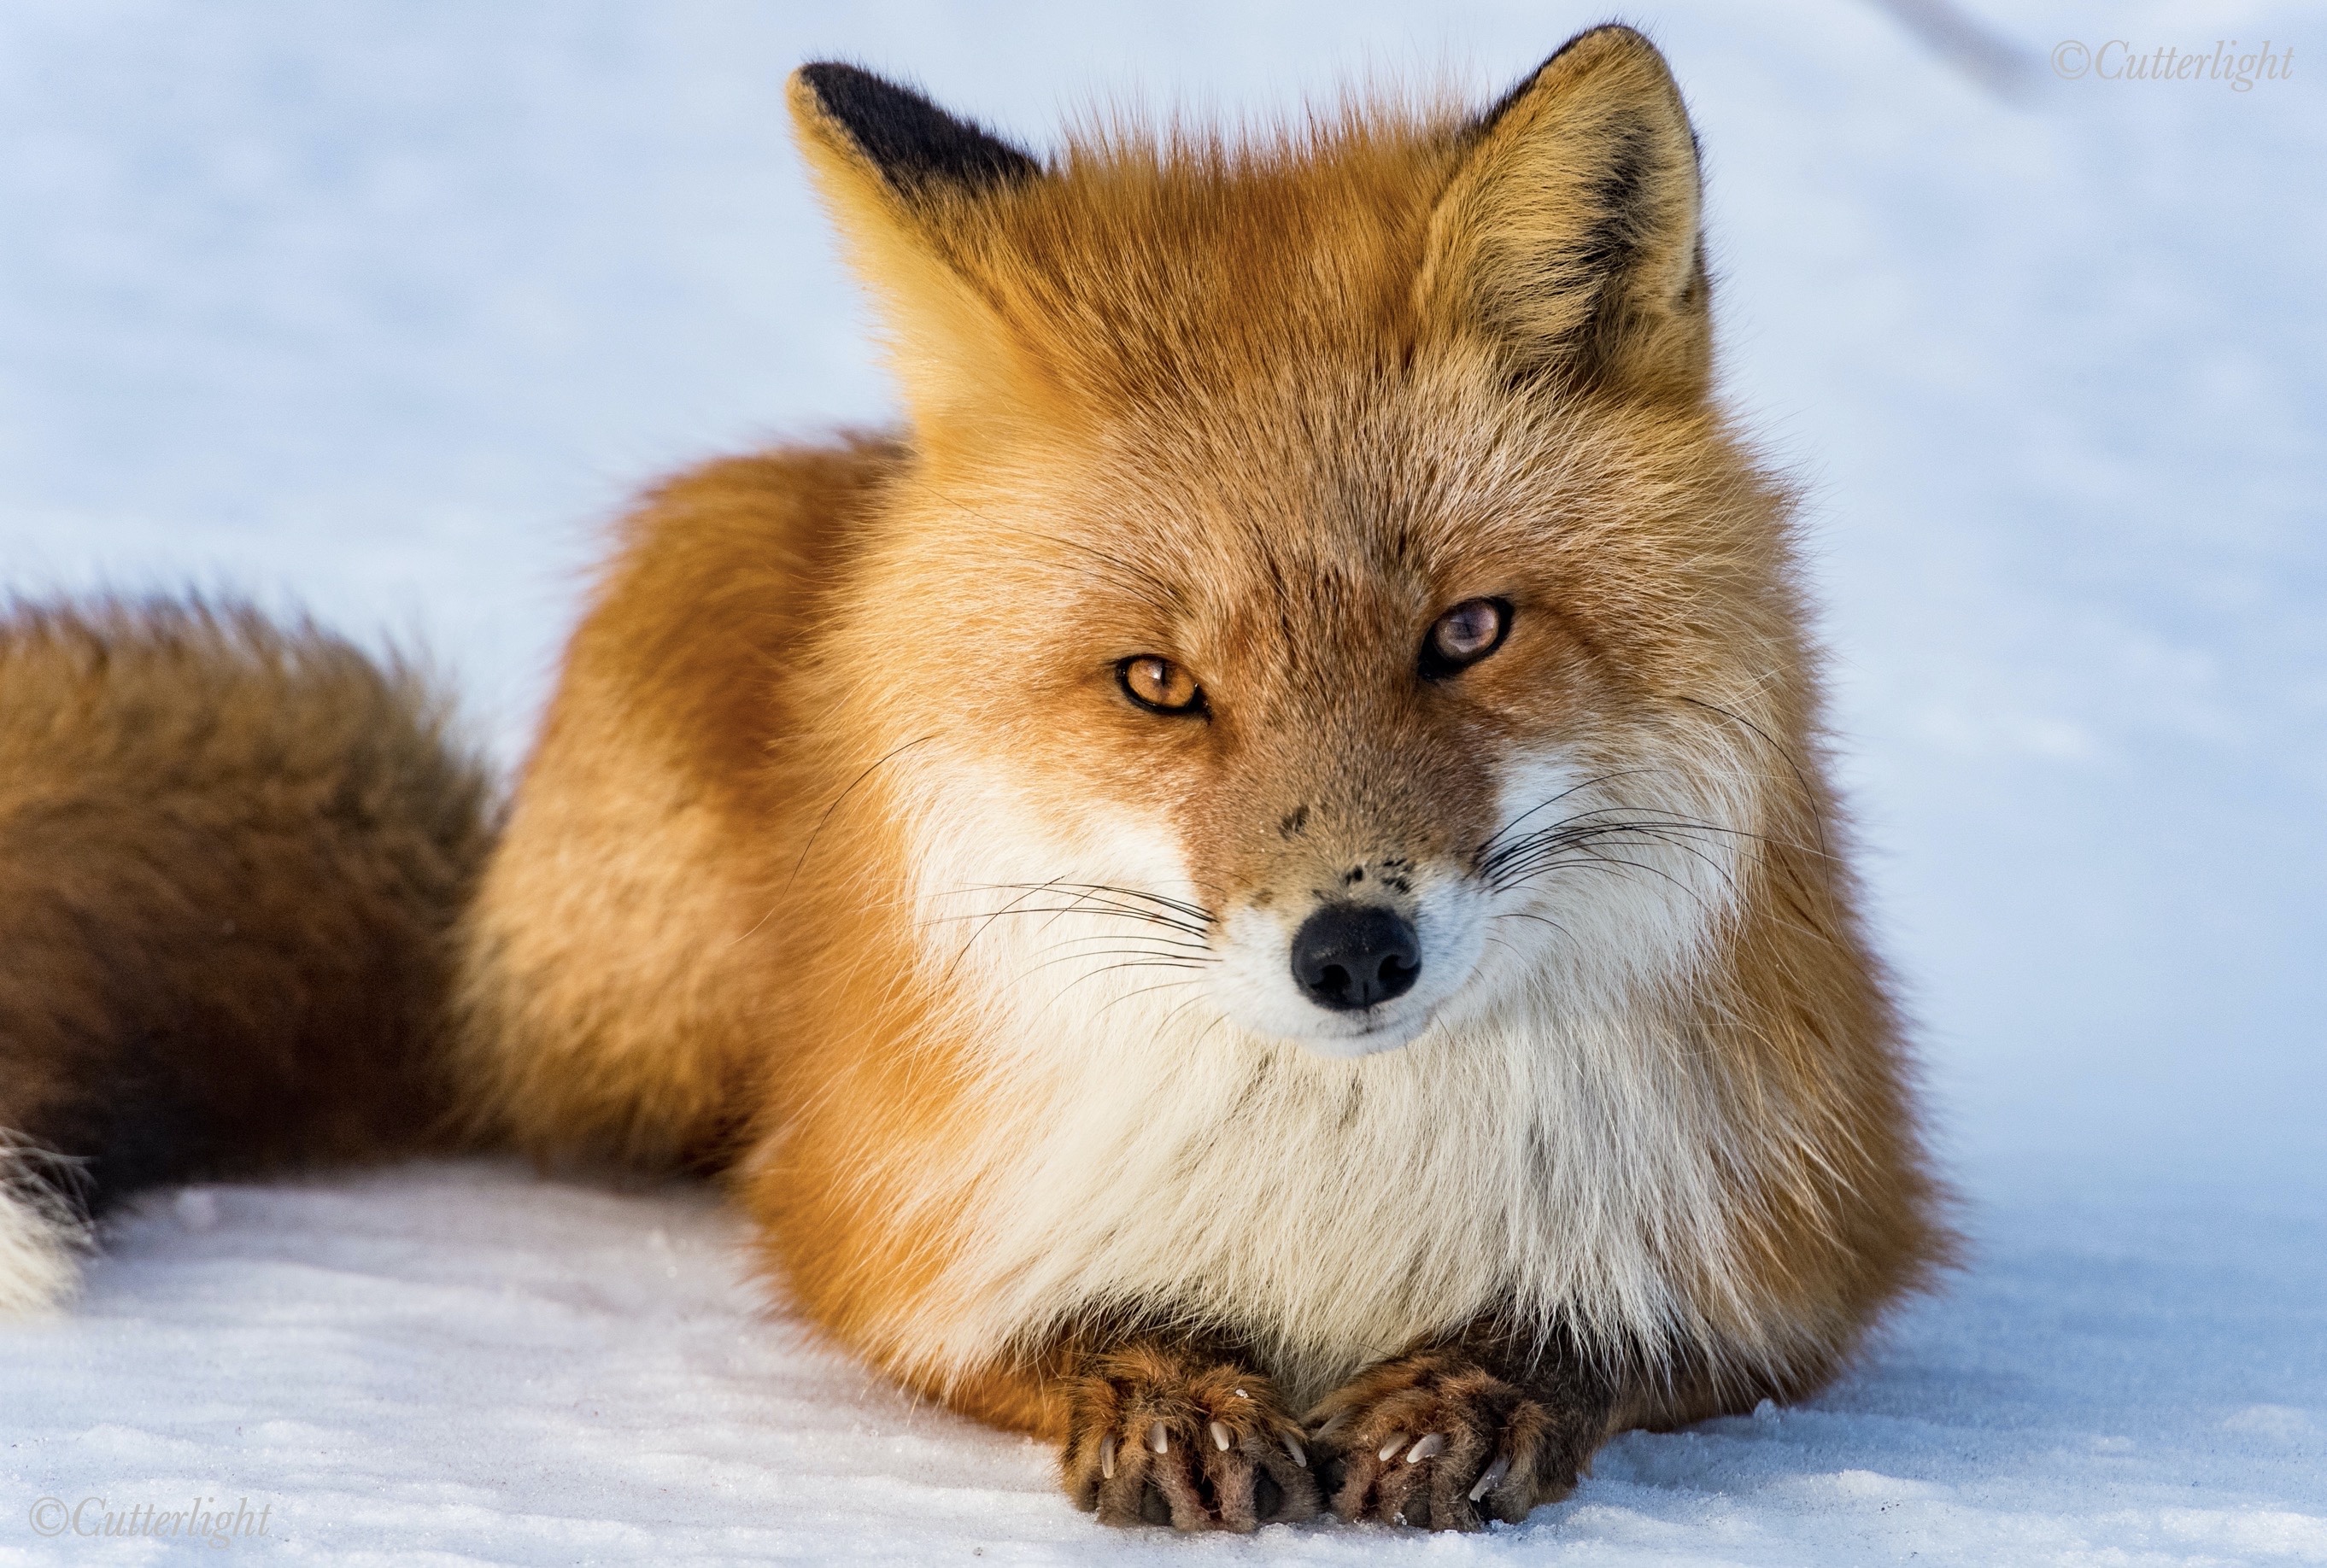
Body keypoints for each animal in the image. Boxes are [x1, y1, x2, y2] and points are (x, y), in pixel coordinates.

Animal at [1, 25, 1947, 1534]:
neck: (1337, 1190)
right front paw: (1155, 1382)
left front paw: (1484, 1390)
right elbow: (980, 1322)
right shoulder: (886, 1215)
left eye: (1465, 633)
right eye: (1160, 684)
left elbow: (1622, 1352)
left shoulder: (1805, 1236)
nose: (1350, 954)